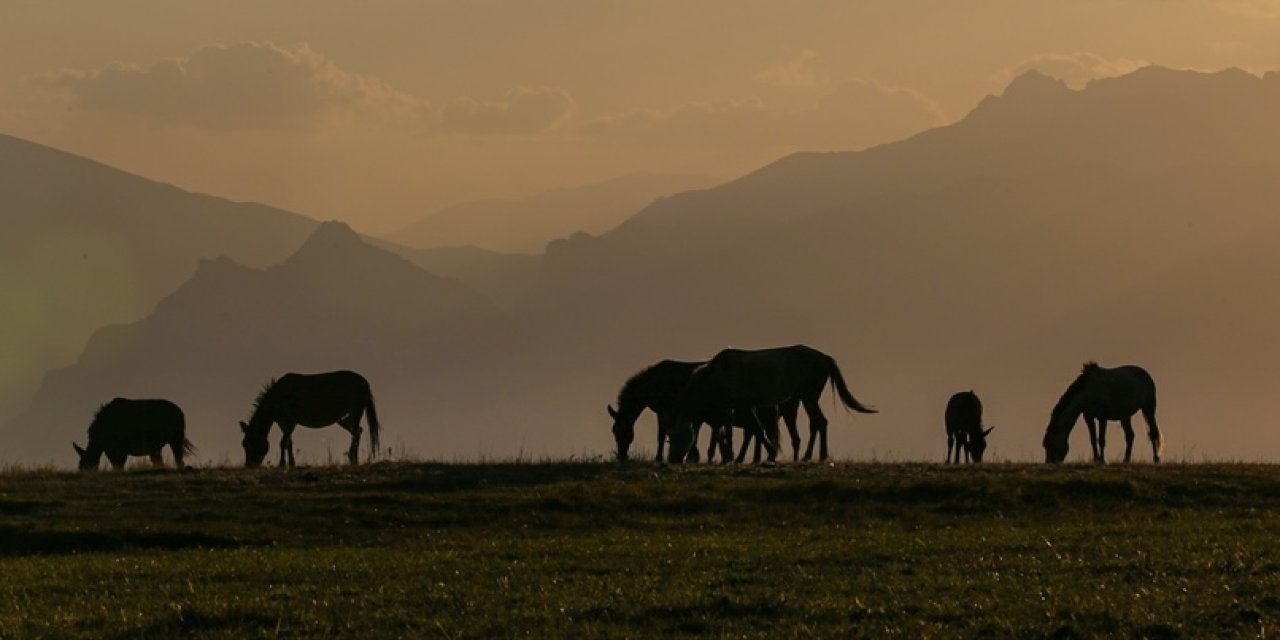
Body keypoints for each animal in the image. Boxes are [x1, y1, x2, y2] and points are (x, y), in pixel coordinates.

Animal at [239, 368, 378, 468]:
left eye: (252, 443)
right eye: (244, 444)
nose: (249, 466)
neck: (278, 399)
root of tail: (365, 383)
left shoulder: (291, 421)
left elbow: (283, 442)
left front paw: (282, 464)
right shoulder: (283, 423)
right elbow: (289, 443)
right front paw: (291, 464)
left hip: (356, 412)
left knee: (356, 434)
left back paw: (353, 458)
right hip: (343, 418)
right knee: (358, 431)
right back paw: (352, 457)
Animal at [665, 345, 875, 465]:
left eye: (679, 437)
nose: (673, 460)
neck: (715, 375)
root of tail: (824, 357)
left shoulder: (739, 407)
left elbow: (751, 431)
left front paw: (761, 454)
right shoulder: (738, 408)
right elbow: (751, 431)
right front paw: (758, 455)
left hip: (809, 397)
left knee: (820, 422)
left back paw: (819, 456)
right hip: (806, 399)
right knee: (817, 423)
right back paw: (810, 455)